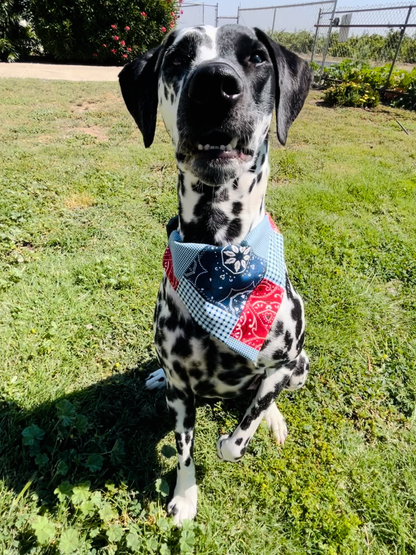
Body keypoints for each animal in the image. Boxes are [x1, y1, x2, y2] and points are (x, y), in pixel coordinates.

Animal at [118, 25, 310, 524]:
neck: (220, 260)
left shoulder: (279, 362)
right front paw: (185, 497)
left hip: (302, 364)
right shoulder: (182, 393)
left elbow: (236, 437)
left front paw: (243, 432)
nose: (215, 84)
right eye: (177, 58)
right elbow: (185, 451)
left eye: (256, 57)